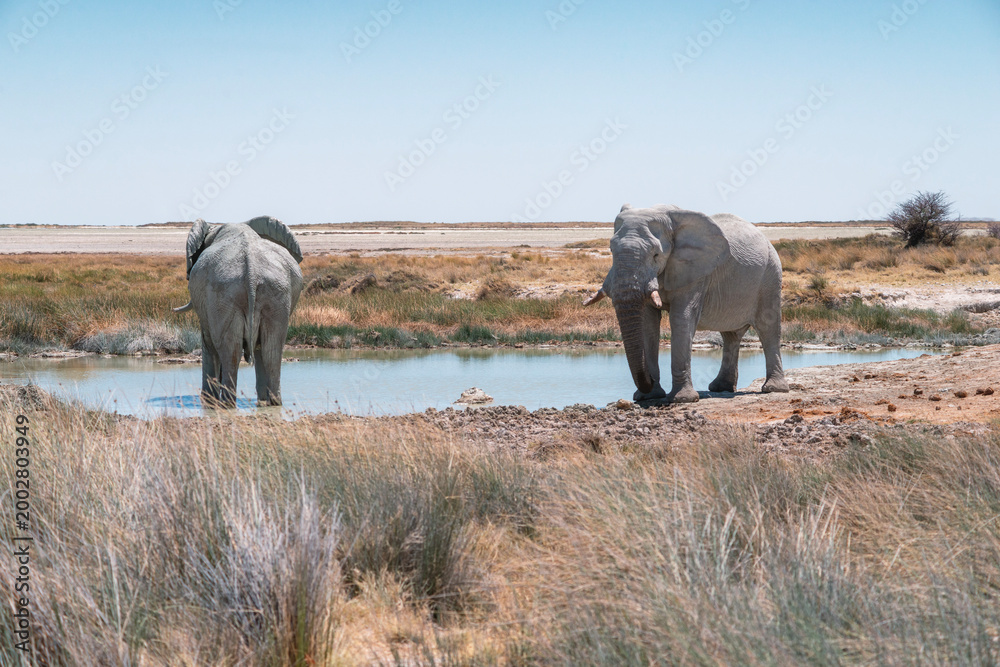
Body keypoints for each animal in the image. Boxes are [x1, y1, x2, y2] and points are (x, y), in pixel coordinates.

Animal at [173, 216, 303, 407]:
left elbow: (208, 343)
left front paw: (208, 402)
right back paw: (272, 404)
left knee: (229, 350)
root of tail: (252, 272)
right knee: (271, 349)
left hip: (224, 294)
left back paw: (226, 405)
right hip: (274, 294)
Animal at [585, 204, 788, 403]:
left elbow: (681, 318)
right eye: (611, 251)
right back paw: (721, 388)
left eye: (656, 255)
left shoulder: (695, 271)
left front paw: (682, 399)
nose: (648, 383)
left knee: (767, 328)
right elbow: (648, 323)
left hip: (771, 275)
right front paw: (649, 397)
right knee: (730, 335)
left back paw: (773, 389)